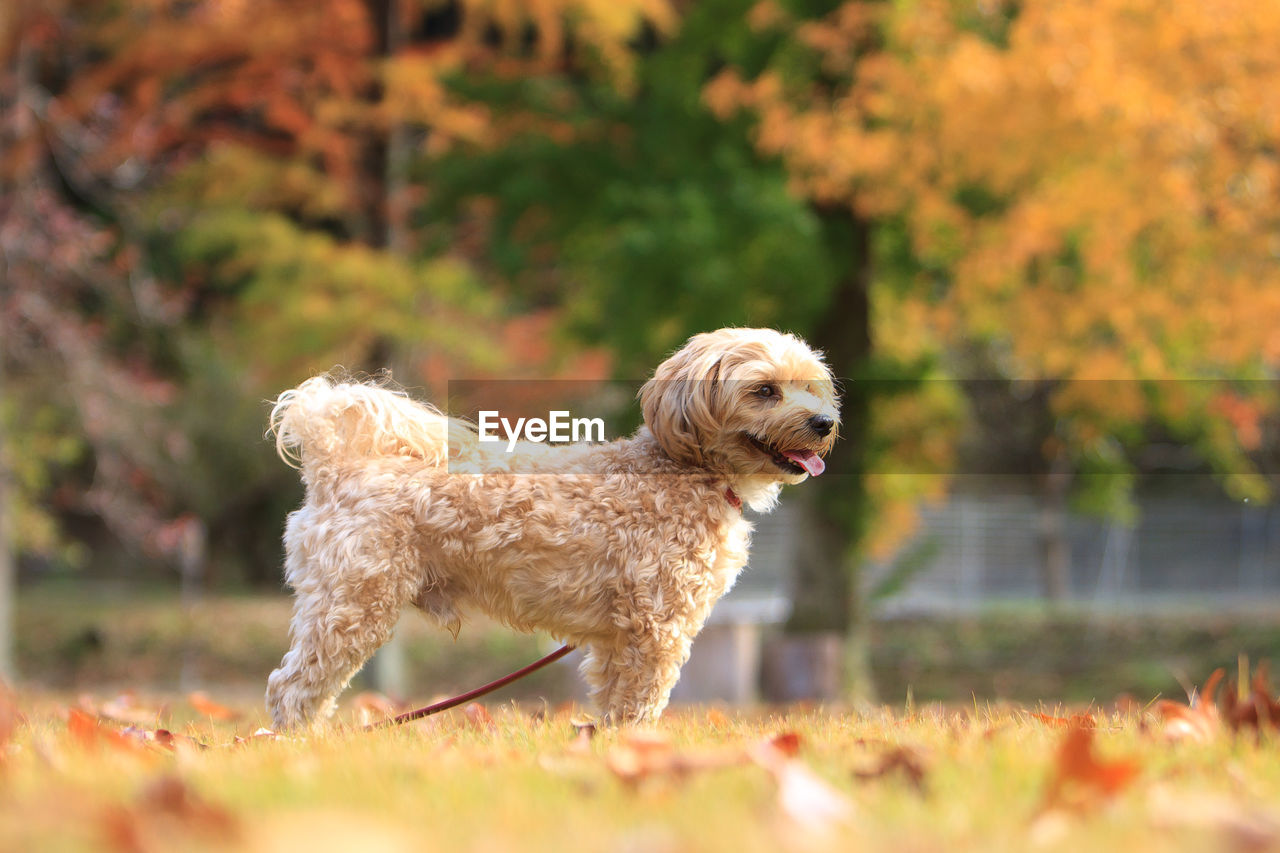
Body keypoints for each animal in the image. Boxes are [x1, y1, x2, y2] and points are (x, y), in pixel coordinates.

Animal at [263, 325, 839, 722]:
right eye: (764, 390)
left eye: (811, 387)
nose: (825, 422)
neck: (685, 470)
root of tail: (334, 465)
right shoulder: (655, 627)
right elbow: (639, 704)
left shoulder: (616, 638)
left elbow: (613, 705)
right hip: (353, 605)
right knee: (291, 687)